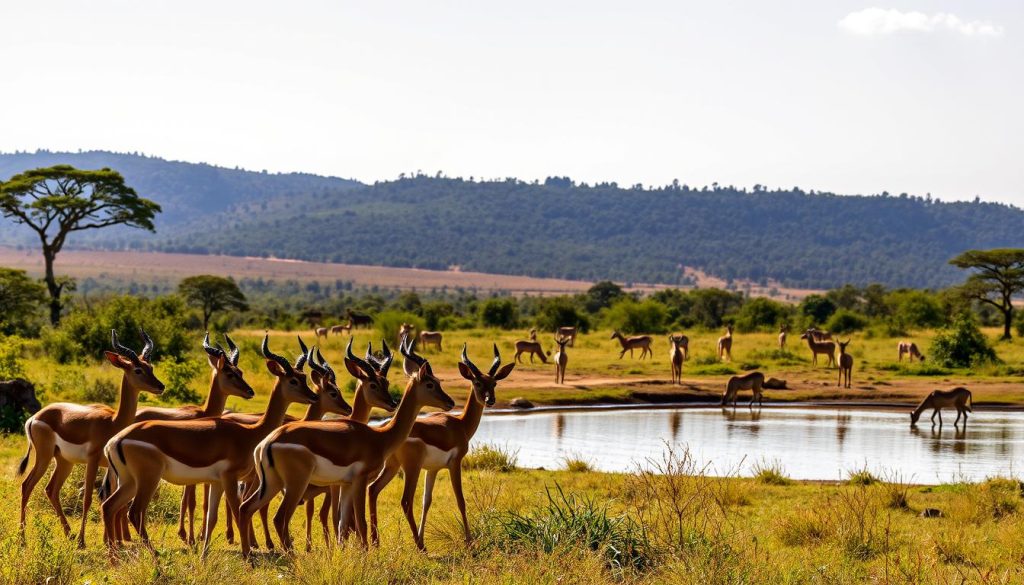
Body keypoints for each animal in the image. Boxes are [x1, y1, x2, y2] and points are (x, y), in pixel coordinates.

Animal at [18, 330, 165, 548]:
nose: (161, 386)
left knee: (51, 490)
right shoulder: (93, 460)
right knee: (27, 485)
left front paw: (113, 541)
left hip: (64, 461)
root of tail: (35, 417)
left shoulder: (110, 466)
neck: (113, 422)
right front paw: (83, 541)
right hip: (44, 457)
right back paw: (23, 538)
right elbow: (88, 497)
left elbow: (108, 496)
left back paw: (68, 534)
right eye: (138, 369)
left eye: (151, 367)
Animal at [100, 335, 320, 553]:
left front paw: (204, 553)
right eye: (293, 380)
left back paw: (114, 554)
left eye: (304, 377)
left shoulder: (217, 482)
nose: (314, 396)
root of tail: (116, 440)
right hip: (148, 480)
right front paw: (248, 554)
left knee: (109, 506)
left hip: (129, 481)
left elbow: (211, 519)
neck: (249, 433)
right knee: (134, 512)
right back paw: (153, 555)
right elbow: (239, 513)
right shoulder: (230, 478)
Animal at [238, 335, 455, 555]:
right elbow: (359, 522)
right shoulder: (360, 481)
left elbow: (343, 523)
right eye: (430, 384)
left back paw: (249, 555)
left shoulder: (346, 484)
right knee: (279, 517)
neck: (380, 437)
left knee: (246, 508)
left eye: (385, 382)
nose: (450, 402)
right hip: (294, 485)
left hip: (272, 483)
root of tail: (268, 442)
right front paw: (366, 553)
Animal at [368, 344, 514, 549]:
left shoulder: (432, 469)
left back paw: (377, 542)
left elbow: (426, 502)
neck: (460, 425)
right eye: (477, 382)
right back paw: (420, 548)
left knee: (373, 489)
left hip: (393, 466)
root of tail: (384, 428)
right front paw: (469, 542)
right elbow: (461, 500)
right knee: (405, 501)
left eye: (494, 383)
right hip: (411, 469)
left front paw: (422, 537)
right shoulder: (455, 464)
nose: (490, 400)